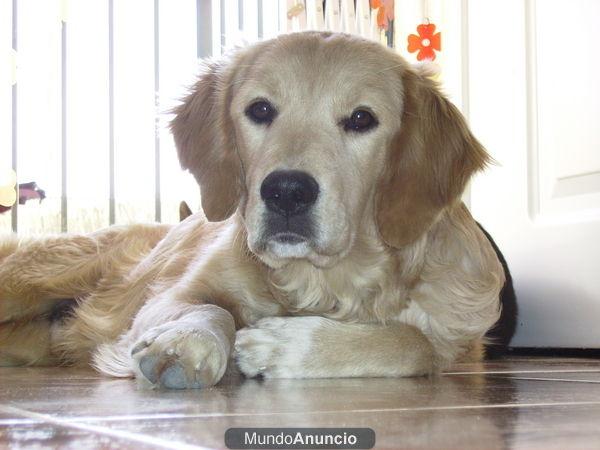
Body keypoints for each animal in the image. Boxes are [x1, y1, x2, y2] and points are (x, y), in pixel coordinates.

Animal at [0, 33, 504, 388]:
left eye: (362, 119)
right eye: (260, 110)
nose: (287, 192)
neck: (321, 282)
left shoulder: (460, 343)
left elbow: (417, 344)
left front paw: (285, 345)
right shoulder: (163, 299)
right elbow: (210, 308)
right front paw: (187, 341)